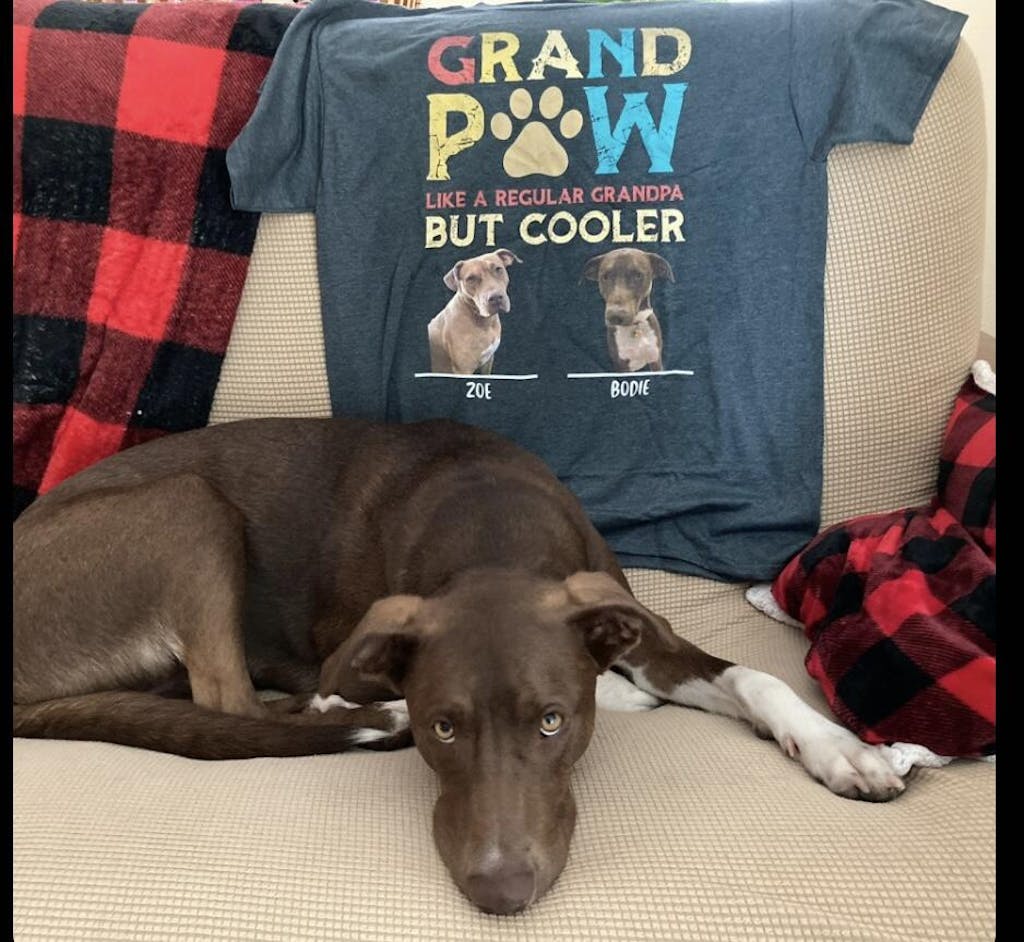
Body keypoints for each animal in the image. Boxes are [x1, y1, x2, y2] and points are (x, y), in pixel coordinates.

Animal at [13, 417, 909, 915]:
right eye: (445, 728)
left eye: (552, 722)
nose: (501, 894)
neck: (491, 532)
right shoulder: (351, 654)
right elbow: (318, 694)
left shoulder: (640, 634)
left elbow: (753, 676)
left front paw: (844, 750)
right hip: (187, 503)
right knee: (232, 702)